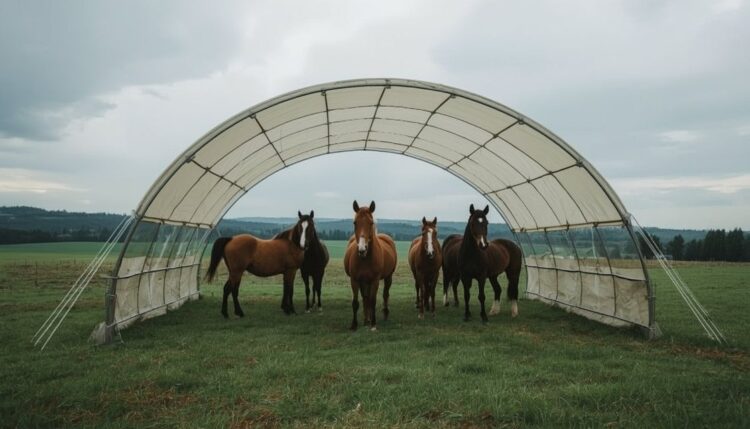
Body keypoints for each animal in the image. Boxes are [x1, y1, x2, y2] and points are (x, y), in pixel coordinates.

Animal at [343, 200, 398, 331]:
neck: (365, 258)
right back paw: (366, 319)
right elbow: (356, 302)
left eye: (371, 222)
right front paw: (354, 325)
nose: (362, 249)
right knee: (365, 298)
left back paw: (384, 314)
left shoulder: (374, 280)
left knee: (385, 294)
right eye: (355, 222)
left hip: (388, 277)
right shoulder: (355, 280)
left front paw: (373, 324)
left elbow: (373, 301)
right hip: (364, 281)